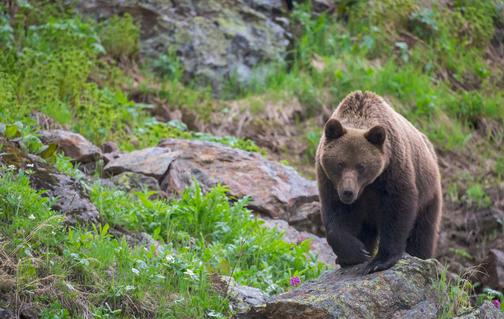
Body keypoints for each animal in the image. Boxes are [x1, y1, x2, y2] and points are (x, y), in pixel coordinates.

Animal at [316, 90, 442, 276]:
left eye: (361, 166)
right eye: (340, 164)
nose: (348, 192)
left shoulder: (393, 170)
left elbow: (398, 210)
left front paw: (379, 262)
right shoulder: (329, 181)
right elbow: (334, 216)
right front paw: (356, 253)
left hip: (429, 194)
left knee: (422, 232)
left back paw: (420, 256)